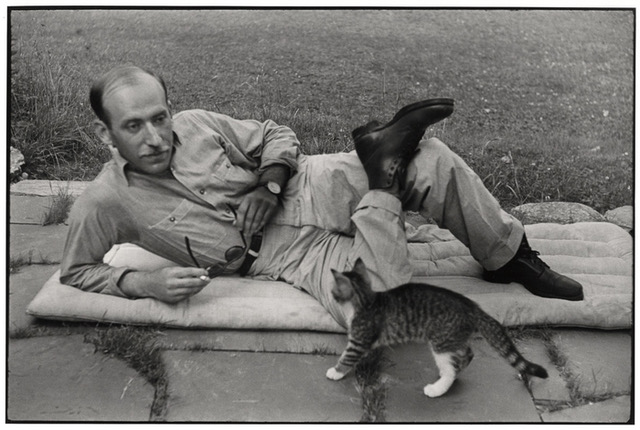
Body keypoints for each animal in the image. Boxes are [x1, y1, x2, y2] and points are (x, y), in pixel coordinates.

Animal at [328, 256, 548, 398]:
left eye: (334, 290)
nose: (331, 295)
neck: (366, 300)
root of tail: (473, 307)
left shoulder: (359, 339)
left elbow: (347, 357)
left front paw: (336, 371)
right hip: (452, 338)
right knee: (467, 354)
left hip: (440, 341)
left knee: (452, 368)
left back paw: (437, 388)